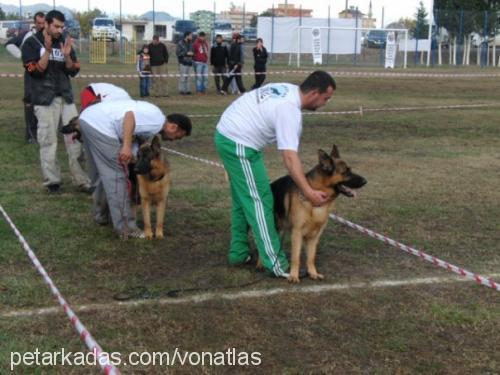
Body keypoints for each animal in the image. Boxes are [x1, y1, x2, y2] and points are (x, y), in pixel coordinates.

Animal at [272, 145, 366, 284]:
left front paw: (313, 273)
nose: (365, 181)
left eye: (350, 170)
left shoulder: (314, 236)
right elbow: (296, 257)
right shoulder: (297, 233)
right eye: (345, 172)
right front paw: (293, 275)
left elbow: (311, 257)